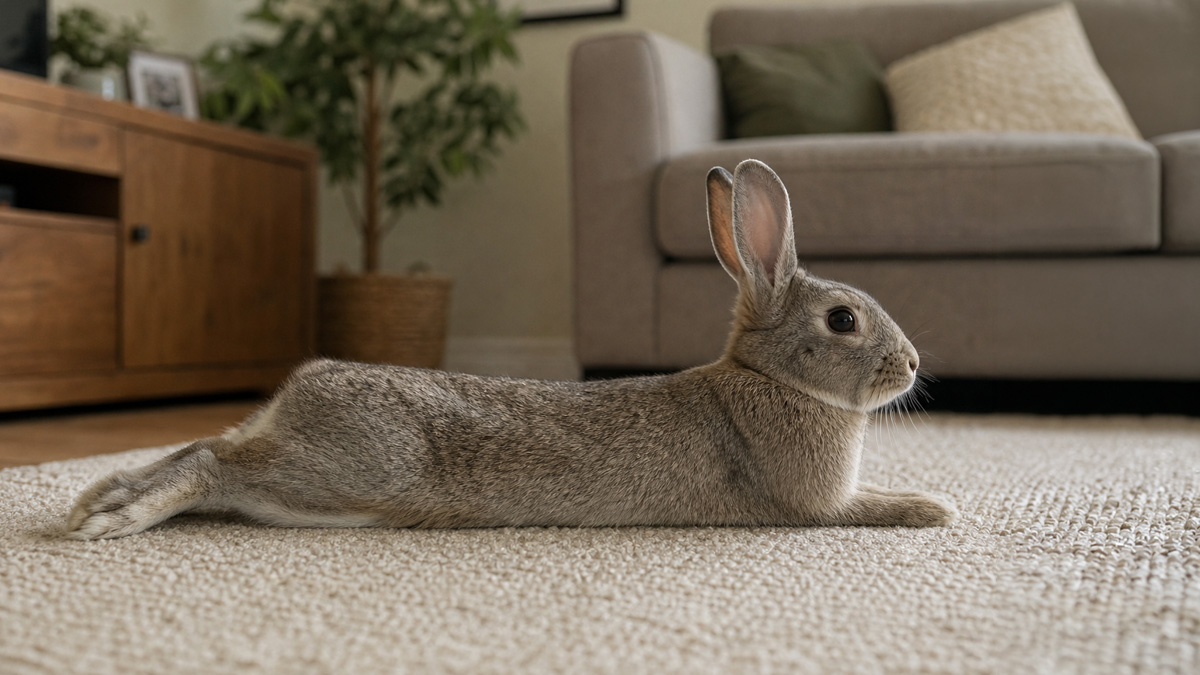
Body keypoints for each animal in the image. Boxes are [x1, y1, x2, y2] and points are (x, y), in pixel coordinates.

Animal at [65, 159, 957, 540]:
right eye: (842, 320)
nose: (913, 365)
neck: (770, 378)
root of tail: (299, 388)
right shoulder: (814, 504)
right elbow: (869, 506)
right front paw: (936, 507)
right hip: (352, 473)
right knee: (212, 461)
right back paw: (113, 518)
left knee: (203, 446)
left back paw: (98, 492)